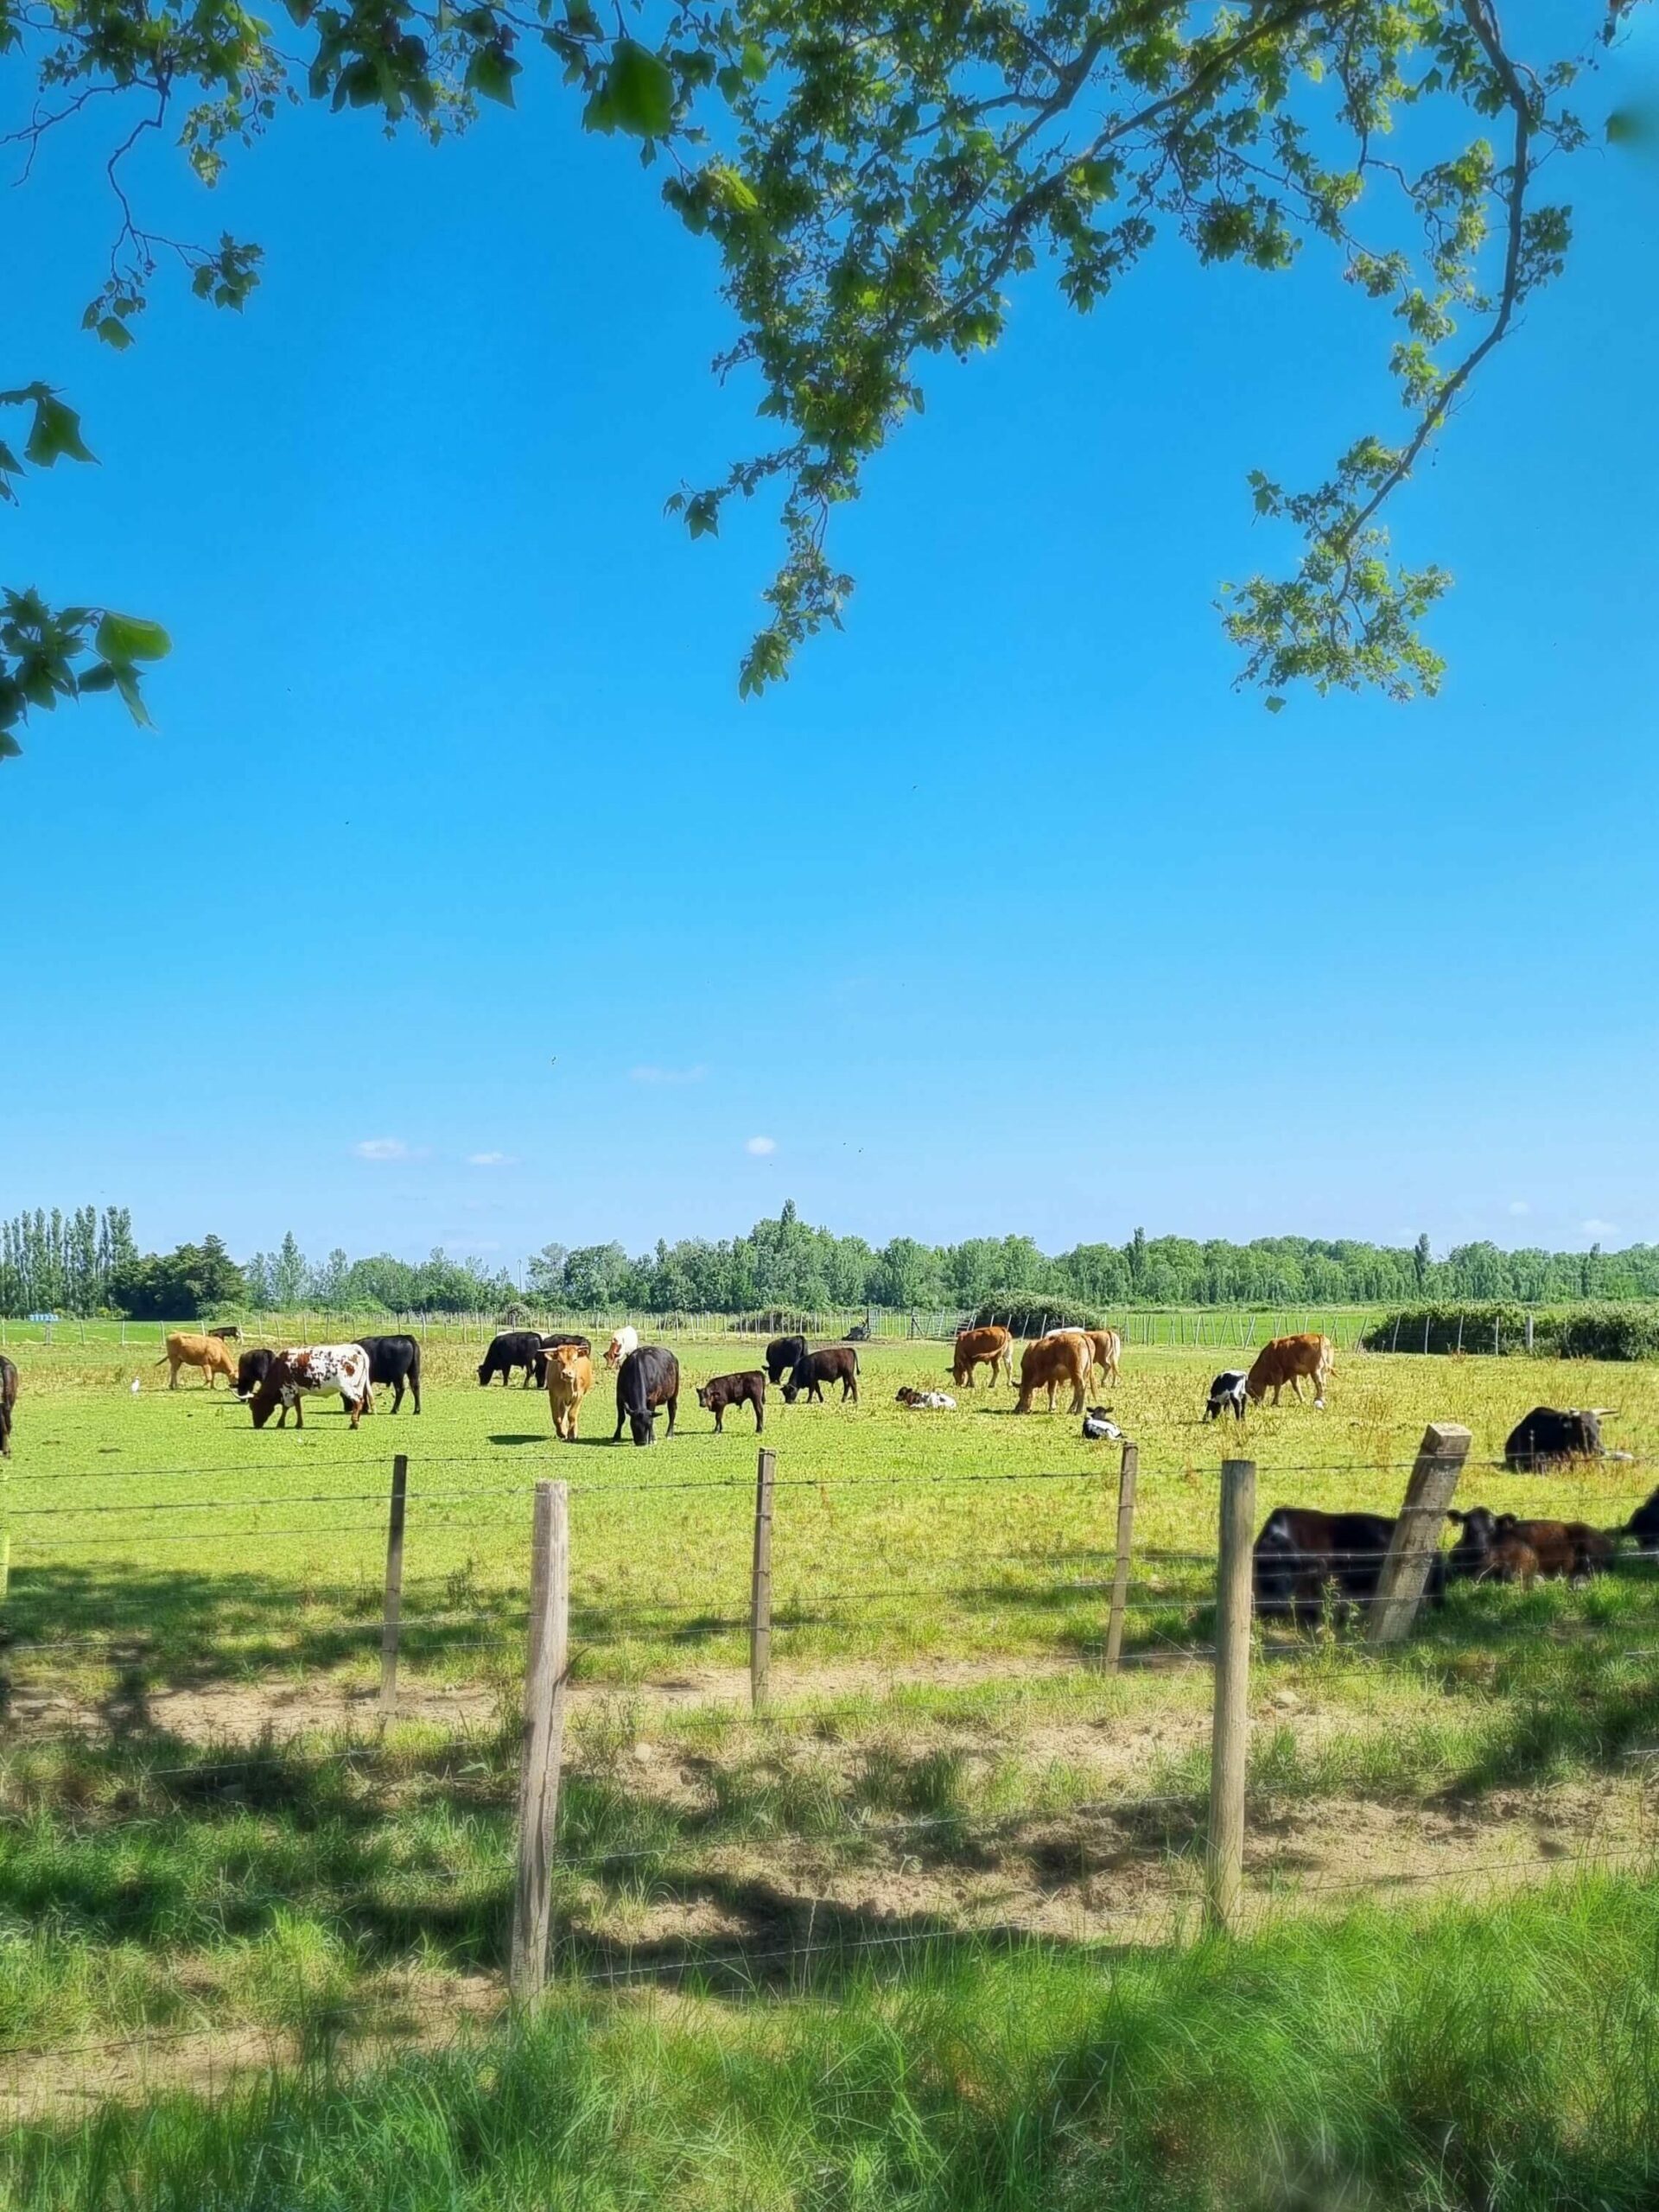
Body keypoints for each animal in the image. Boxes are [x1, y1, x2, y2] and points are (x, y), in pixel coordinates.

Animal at [249, 1336, 376, 1424]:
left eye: (253, 1407)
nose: (256, 1425)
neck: (279, 1367)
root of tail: (353, 1347)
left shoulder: (289, 1390)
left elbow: (288, 1407)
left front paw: (283, 1423)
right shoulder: (296, 1392)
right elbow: (297, 1407)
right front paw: (297, 1424)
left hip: (347, 1387)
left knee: (357, 1401)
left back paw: (354, 1423)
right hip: (359, 1386)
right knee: (361, 1401)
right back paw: (356, 1420)